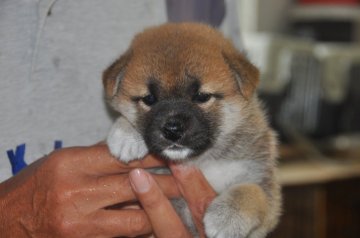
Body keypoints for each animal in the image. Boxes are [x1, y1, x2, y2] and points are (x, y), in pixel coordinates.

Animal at [102, 22, 280, 238]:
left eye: (202, 96)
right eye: (149, 99)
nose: (172, 129)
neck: (202, 161)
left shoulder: (264, 186)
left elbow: (252, 192)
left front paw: (227, 217)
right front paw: (126, 133)